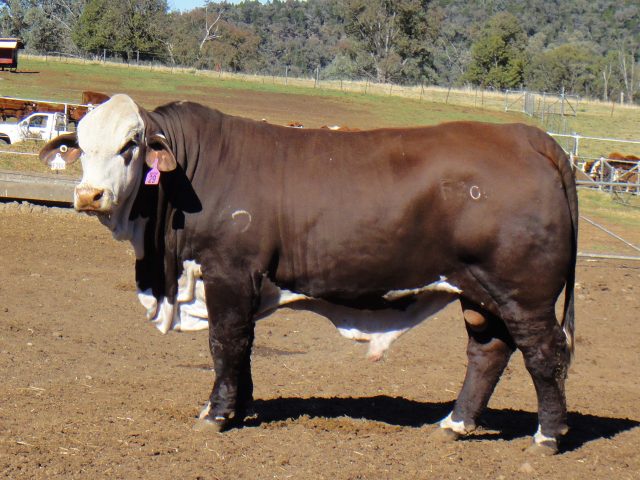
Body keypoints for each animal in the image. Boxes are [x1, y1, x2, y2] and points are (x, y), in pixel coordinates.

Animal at [41, 94, 580, 454]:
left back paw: (547, 436)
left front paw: (217, 413)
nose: (89, 195)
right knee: (487, 351)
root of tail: (527, 136)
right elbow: (243, 347)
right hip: (480, 291)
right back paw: (457, 423)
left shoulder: (228, 272)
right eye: (81, 146)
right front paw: (240, 406)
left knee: (544, 353)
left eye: (130, 145)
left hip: (524, 293)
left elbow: (225, 342)